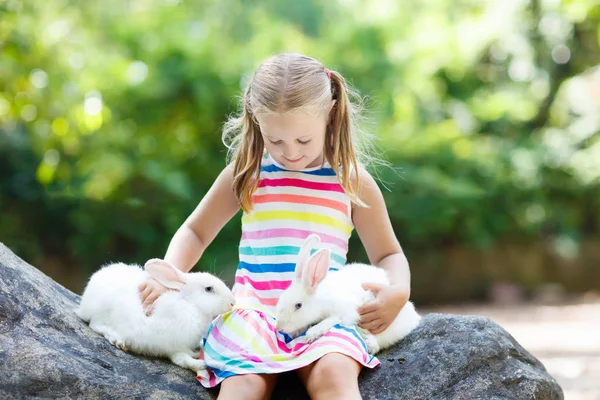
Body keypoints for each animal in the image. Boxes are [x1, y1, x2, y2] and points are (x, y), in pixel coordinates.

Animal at [75, 260, 234, 372]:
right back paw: (117, 340)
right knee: (95, 324)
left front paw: (197, 353)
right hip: (106, 312)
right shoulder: (174, 346)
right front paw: (200, 364)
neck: (190, 304)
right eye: (209, 289)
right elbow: (182, 360)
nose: (233, 302)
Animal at [274, 234, 420, 354]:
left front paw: (312, 333)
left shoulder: (345, 311)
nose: (279, 328)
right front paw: (297, 332)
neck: (320, 299)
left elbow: (333, 319)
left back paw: (370, 343)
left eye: (298, 305)